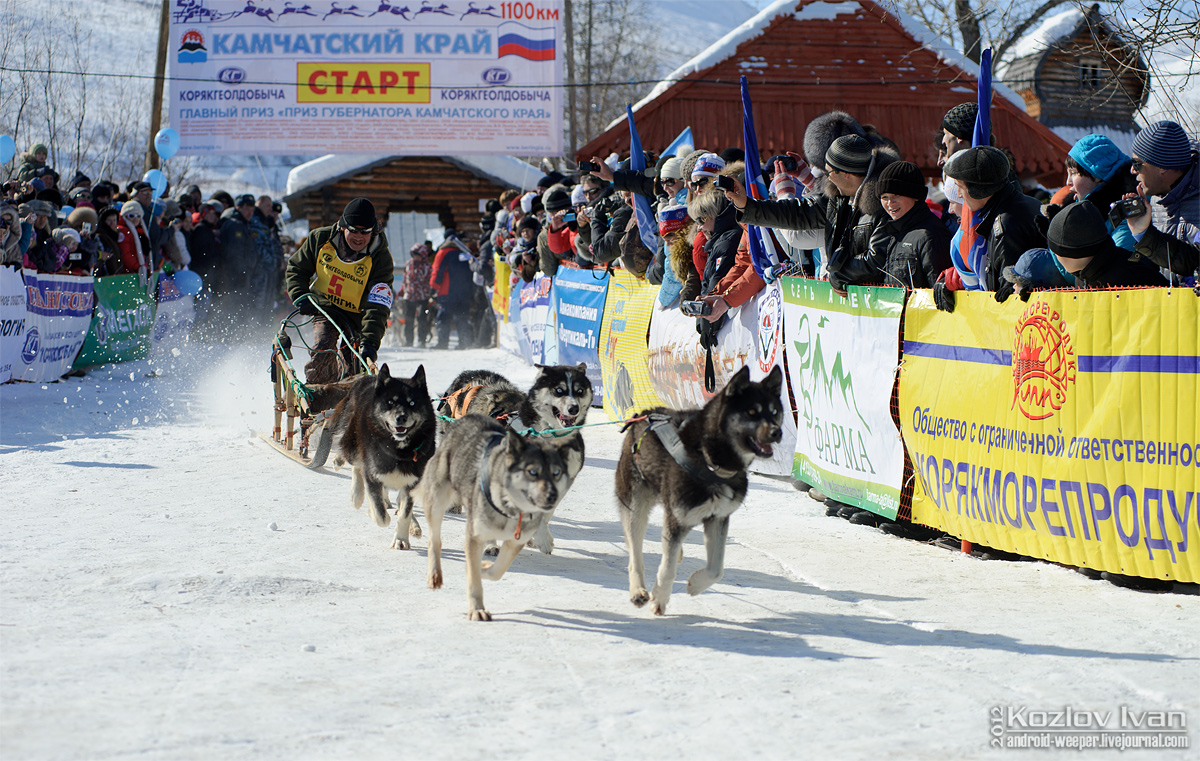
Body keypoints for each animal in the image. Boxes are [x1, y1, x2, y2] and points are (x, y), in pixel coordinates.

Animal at [420, 412, 568, 619]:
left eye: (556, 472)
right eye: (532, 472)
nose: (552, 496)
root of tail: (468, 417)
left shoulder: (515, 542)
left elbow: (496, 571)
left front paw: (484, 569)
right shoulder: (474, 537)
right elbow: (474, 579)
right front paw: (477, 609)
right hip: (438, 500)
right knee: (434, 540)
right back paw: (434, 573)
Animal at [614, 364, 782, 614]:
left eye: (774, 412)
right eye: (752, 412)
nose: (777, 432)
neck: (711, 461)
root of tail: (643, 414)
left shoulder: (717, 518)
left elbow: (716, 569)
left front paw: (695, 584)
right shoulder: (679, 517)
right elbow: (667, 568)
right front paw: (660, 598)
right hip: (635, 505)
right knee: (635, 553)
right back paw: (638, 591)